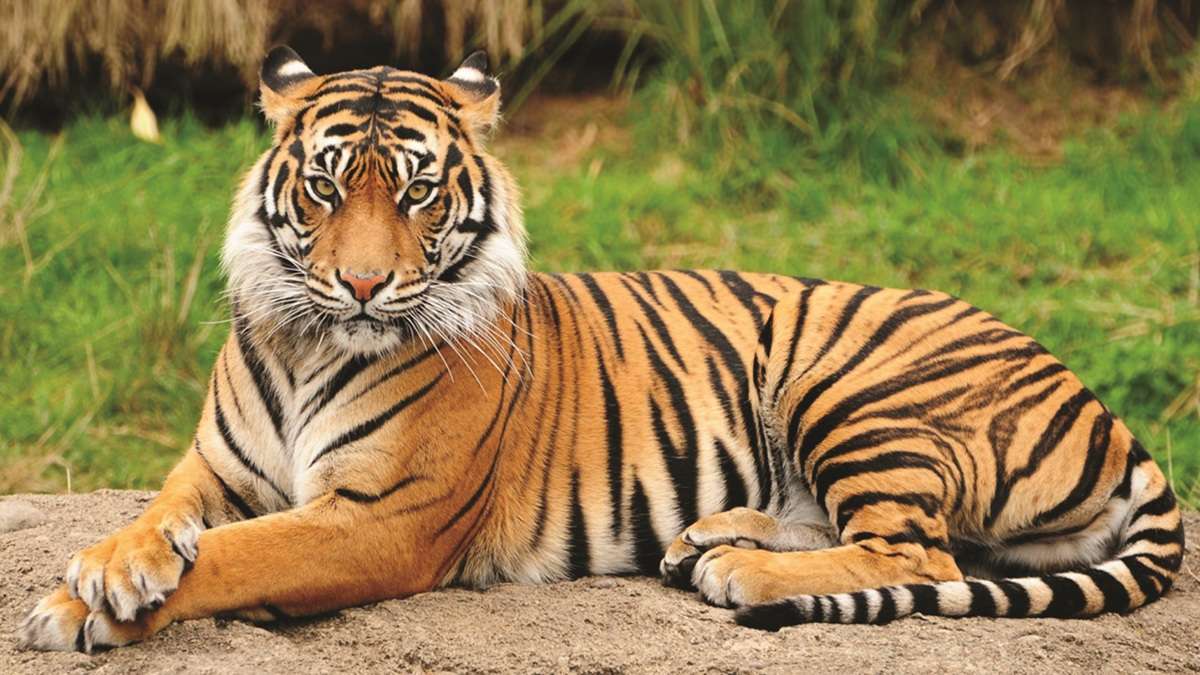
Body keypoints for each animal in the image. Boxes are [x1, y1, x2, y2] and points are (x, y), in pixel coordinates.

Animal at [19, 47, 1184, 652]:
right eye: (323, 186)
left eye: (418, 193)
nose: (362, 285)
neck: (311, 343)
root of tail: (1104, 407)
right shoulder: (214, 468)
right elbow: (163, 519)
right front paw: (110, 567)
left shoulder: (380, 519)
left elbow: (241, 554)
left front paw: (80, 607)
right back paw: (710, 539)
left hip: (851, 381)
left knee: (920, 552)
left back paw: (743, 573)